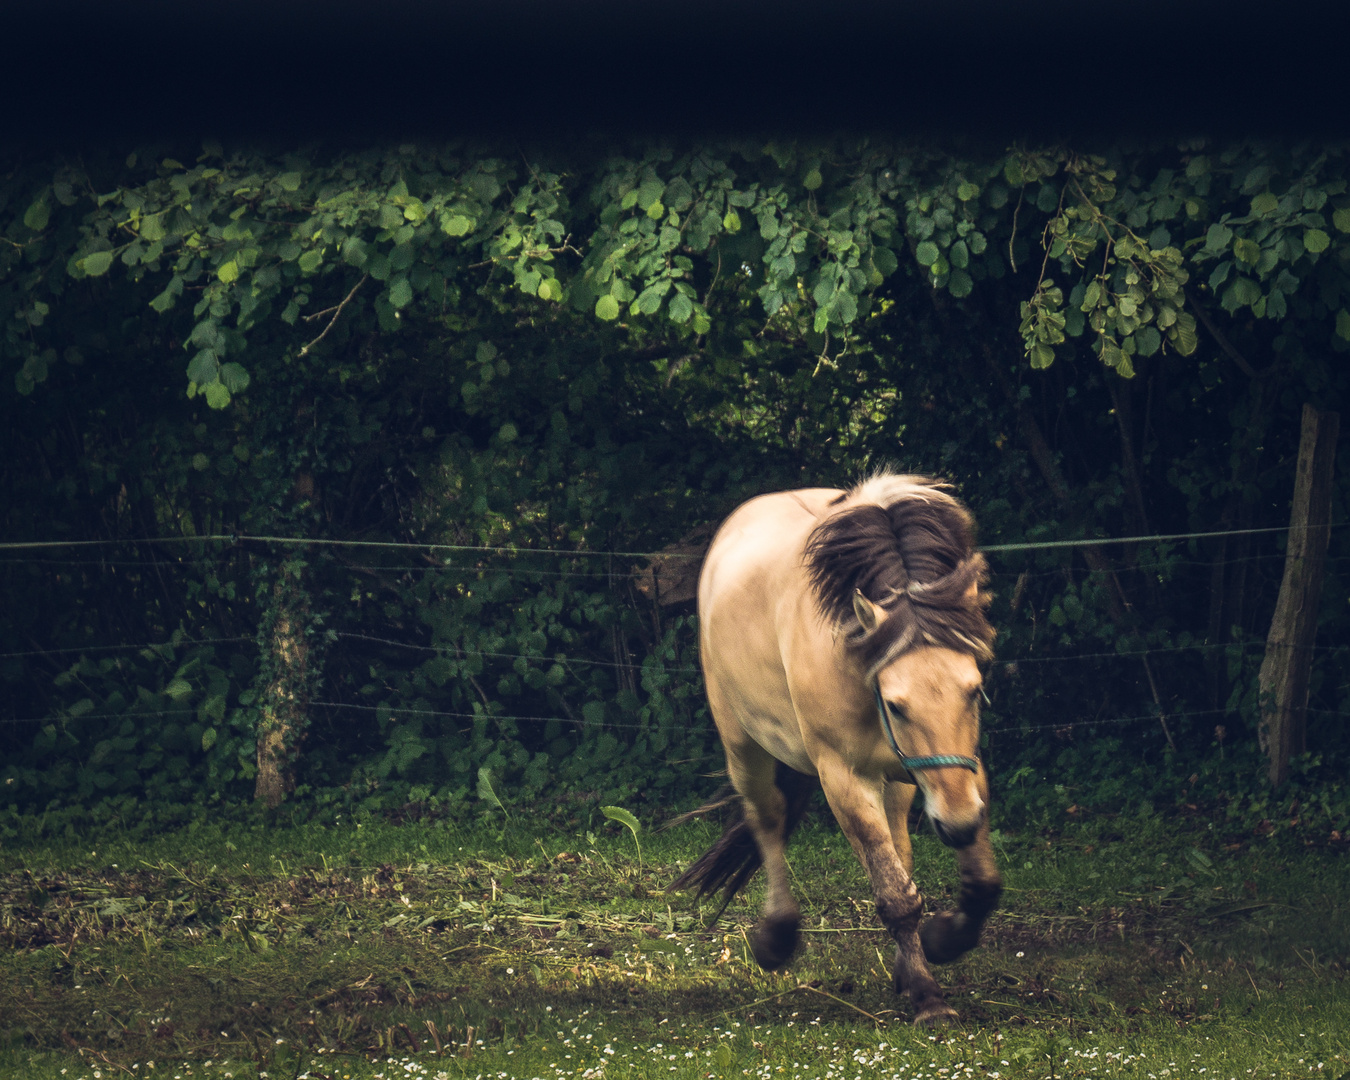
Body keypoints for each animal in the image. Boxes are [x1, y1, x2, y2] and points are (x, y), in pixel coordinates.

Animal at [669, 467, 999, 1026]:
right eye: (896, 705)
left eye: (974, 690)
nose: (956, 826)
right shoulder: (844, 777)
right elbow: (896, 894)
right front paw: (929, 997)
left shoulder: (962, 769)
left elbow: (978, 885)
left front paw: (940, 944)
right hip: (745, 749)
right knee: (767, 820)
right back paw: (777, 938)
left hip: (900, 781)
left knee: (898, 849)